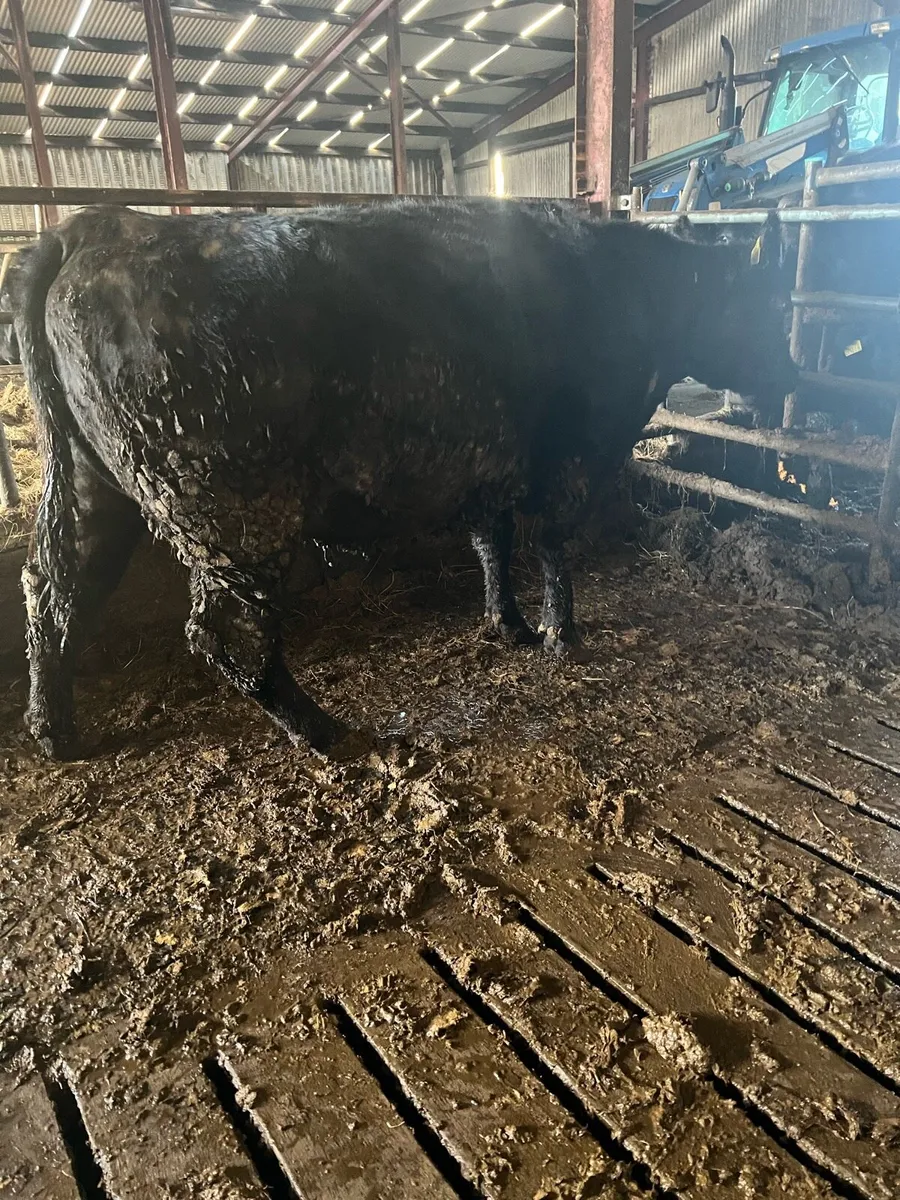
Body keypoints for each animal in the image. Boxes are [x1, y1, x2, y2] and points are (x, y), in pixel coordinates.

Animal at [12, 201, 796, 760]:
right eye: (766, 306)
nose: (789, 380)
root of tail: (97, 227)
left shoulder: (490, 461)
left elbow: (492, 541)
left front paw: (508, 623)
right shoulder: (574, 454)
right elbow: (552, 544)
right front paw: (561, 634)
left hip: (94, 484)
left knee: (56, 590)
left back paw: (56, 733)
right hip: (228, 507)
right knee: (220, 632)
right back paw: (321, 730)